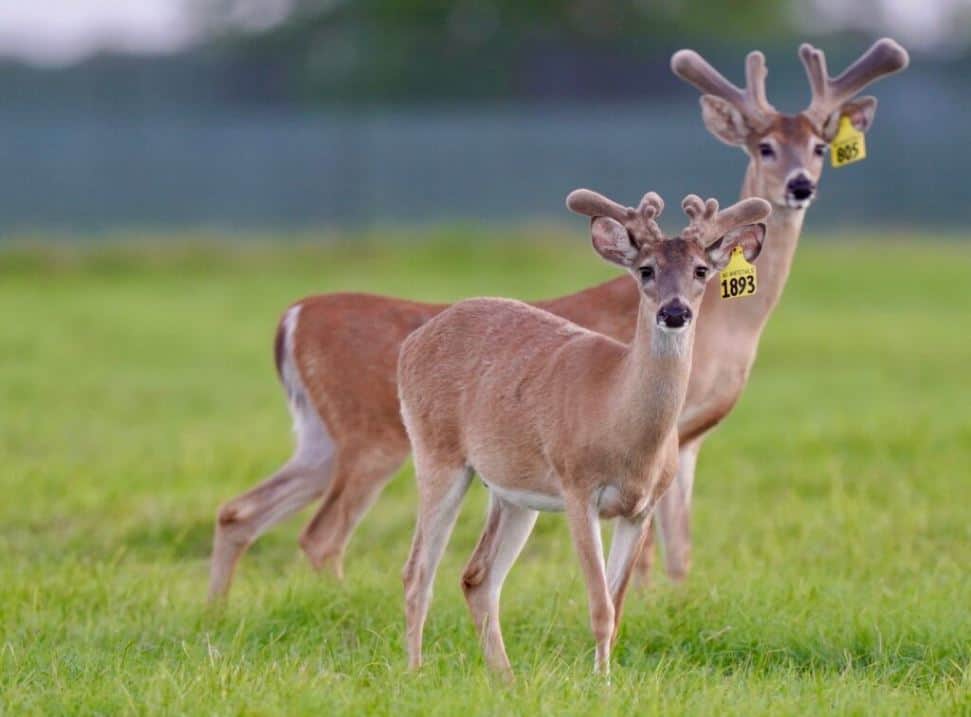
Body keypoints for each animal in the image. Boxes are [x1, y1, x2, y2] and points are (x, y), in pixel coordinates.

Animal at [207, 39, 908, 602]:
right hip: (371, 436)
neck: (728, 331)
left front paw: (675, 599)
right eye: (764, 145)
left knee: (239, 512)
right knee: (322, 535)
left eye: (820, 145)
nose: (799, 185)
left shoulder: (689, 440)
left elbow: (680, 542)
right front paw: (647, 602)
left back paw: (218, 611)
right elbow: (646, 549)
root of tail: (294, 316)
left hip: (320, 435)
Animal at [399, 189, 771, 675]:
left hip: (515, 493)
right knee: (417, 572)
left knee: (477, 577)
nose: (675, 311)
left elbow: (617, 605)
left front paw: (603, 677)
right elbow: (599, 605)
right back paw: (415, 671)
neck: (619, 421)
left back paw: (505, 679)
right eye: (646, 270)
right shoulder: (578, 488)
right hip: (437, 452)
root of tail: (410, 345)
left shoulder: (641, 509)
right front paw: (604, 683)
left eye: (701, 270)